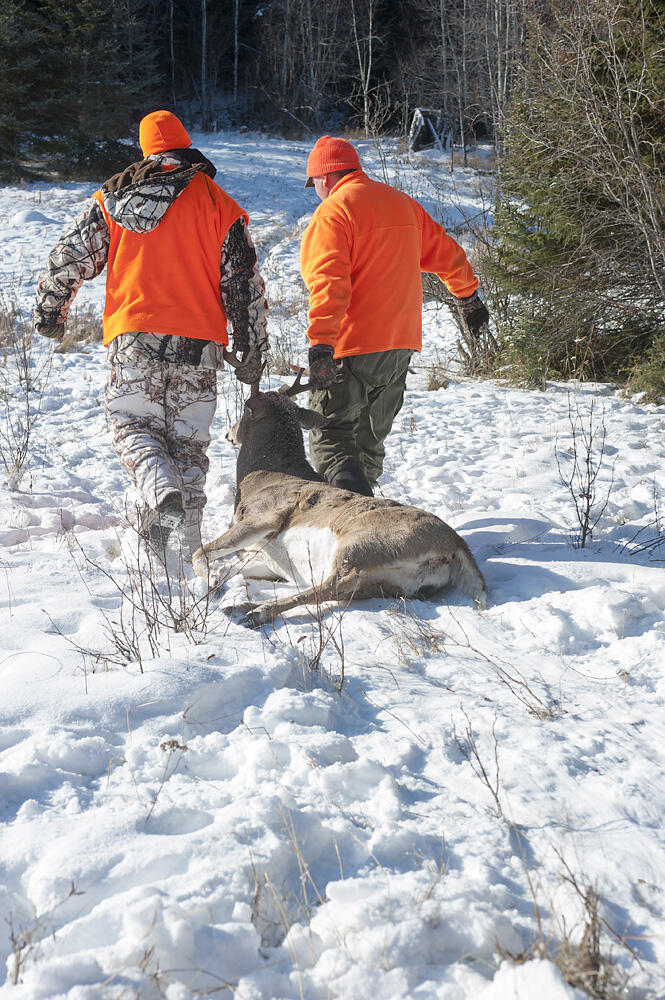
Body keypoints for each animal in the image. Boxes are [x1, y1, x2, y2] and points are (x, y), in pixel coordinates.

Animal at [193, 370, 488, 624]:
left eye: (245, 412)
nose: (228, 433)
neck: (265, 474)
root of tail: (456, 546)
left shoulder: (262, 516)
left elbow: (201, 555)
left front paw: (206, 587)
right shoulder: (268, 562)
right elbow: (229, 569)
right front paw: (217, 583)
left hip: (362, 545)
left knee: (334, 583)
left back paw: (257, 611)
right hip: (392, 582)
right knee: (339, 591)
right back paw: (242, 607)